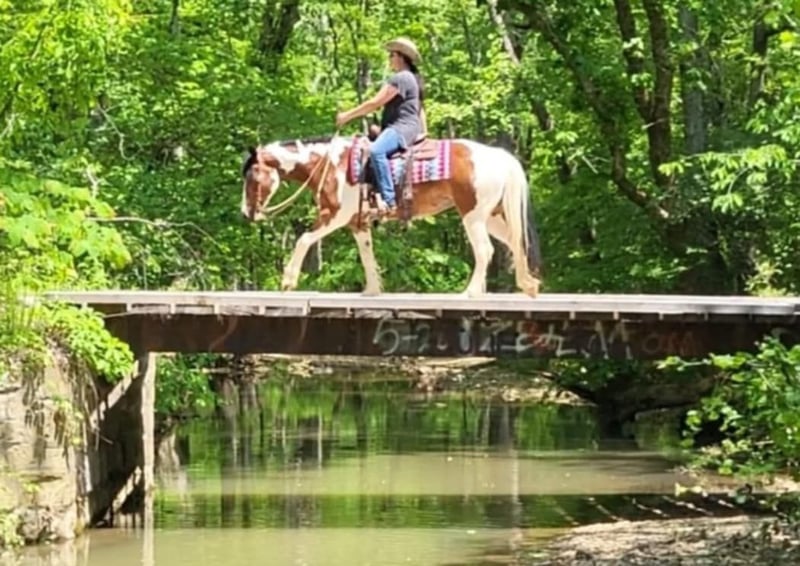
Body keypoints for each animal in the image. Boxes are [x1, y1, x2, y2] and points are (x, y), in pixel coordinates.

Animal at [240, 134, 542, 297]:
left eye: (252, 177)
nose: (246, 213)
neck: (330, 164)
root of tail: (501, 157)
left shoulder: (334, 215)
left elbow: (303, 239)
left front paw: (288, 281)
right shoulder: (357, 222)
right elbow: (367, 254)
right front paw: (372, 290)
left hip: (473, 216)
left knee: (485, 250)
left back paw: (470, 291)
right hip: (490, 216)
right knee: (515, 241)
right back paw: (528, 285)